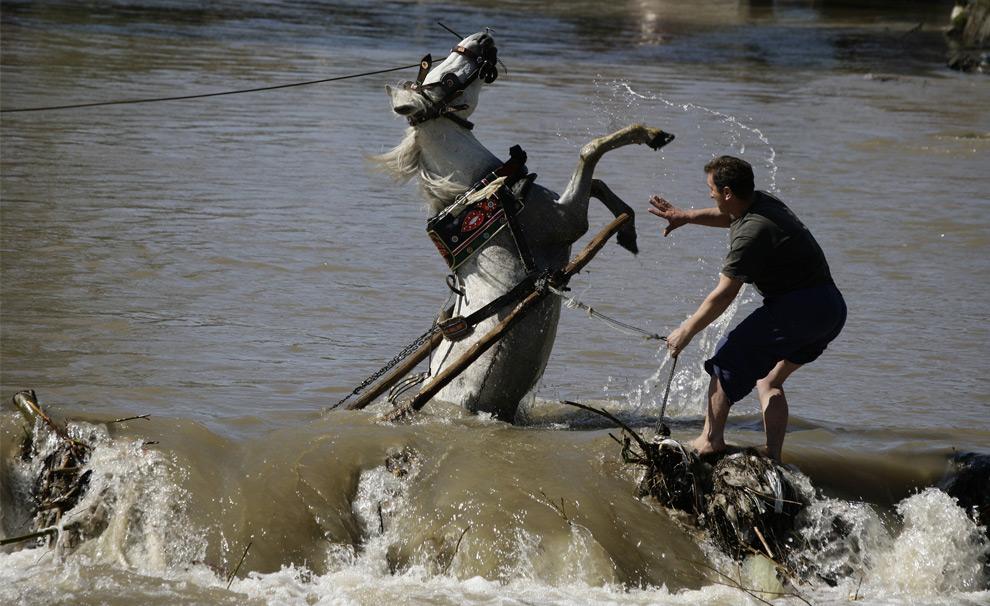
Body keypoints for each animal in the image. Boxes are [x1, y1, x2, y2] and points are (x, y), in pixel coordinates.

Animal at [374, 32, 676, 422]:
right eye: (447, 79)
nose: (482, 38)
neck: (481, 188)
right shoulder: (568, 220)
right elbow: (590, 152)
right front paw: (652, 134)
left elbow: (598, 182)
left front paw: (628, 229)